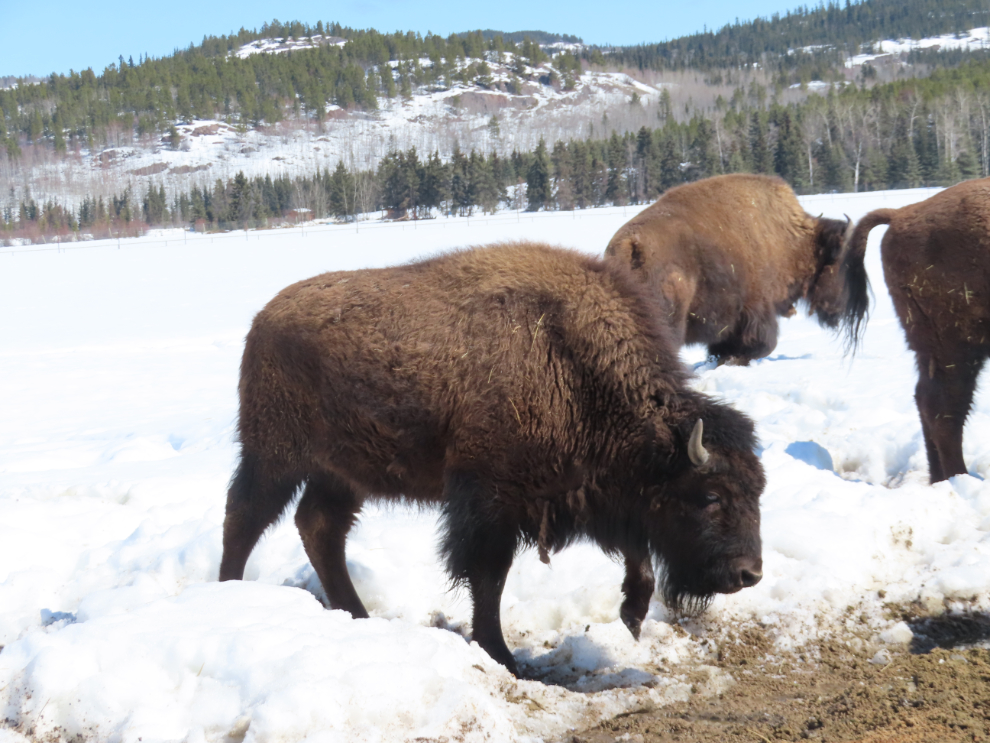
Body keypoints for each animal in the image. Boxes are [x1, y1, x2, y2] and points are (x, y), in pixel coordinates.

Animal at [219, 242, 766, 676]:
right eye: (710, 495)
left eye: (758, 490)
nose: (749, 575)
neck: (573, 364)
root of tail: (263, 320)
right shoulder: (490, 499)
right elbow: (488, 577)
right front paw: (501, 655)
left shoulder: (596, 496)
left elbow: (640, 558)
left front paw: (631, 619)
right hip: (275, 456)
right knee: (245, 517)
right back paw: (229, 593)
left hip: (343, 474)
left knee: (319, 527)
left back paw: (357, 615)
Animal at [605, 174, 861, 364]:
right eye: (843, 264)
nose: (843, 308)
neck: (793, 239)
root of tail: (631, 245)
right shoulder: (756, 308)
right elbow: (764, 342)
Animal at [842, 178, 990, 483]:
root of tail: (901, 213)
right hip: (955, 345)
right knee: (944, 407)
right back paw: (958, 478)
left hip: (927, 344)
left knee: (926, 400)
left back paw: (939, 479)